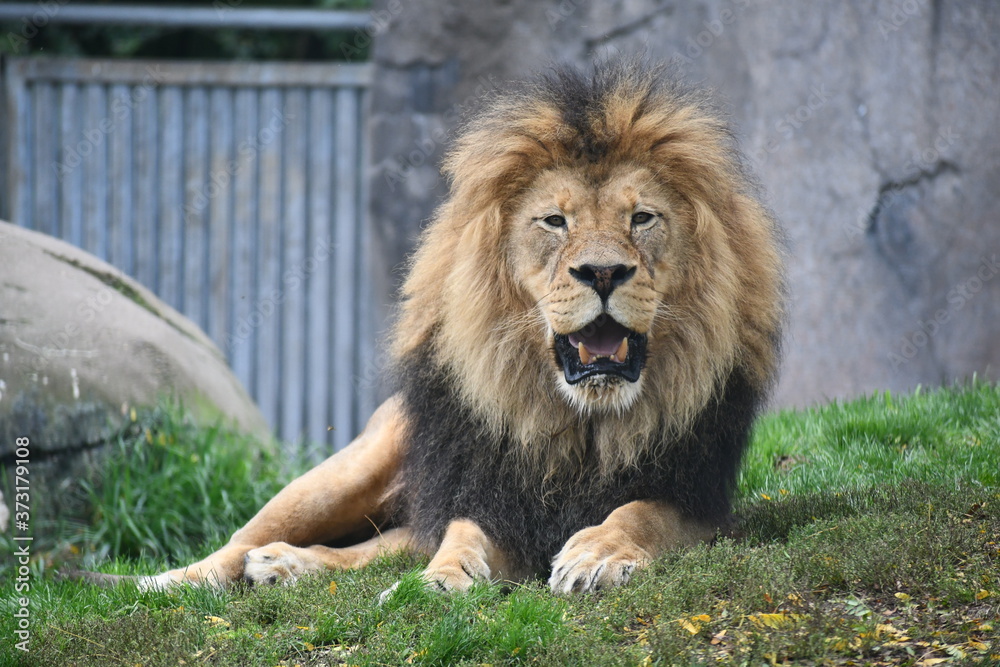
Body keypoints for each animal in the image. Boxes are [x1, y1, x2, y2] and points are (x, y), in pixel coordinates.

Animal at [84, 60, 783, 594]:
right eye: (554, 221)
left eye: (642, 218)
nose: (604, 272)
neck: (579, 424)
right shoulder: (484, 491)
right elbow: (459, 536)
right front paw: (440, 582)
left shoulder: (699, 500)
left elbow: (636, 514)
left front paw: (594, 554)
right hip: (351, 466)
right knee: (238, 541)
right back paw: (162, 583)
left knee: (381, 543)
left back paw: (285, 566)